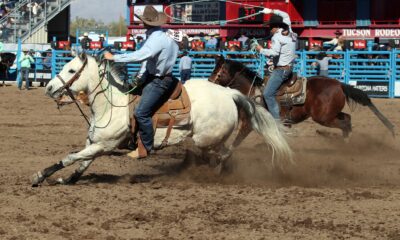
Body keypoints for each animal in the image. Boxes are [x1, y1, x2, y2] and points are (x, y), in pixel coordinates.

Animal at [31, 52, 292, 187]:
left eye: (71, 70)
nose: (50, 88)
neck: (112, 105)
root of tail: (228, 93)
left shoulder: (103, 145)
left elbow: (70, 157)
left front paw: (40, 176)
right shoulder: (94, 145)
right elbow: (82, 163)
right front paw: (68, 179)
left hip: (207, 138)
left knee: (223, 153)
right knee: (221, 155)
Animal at [208, 55, 396, 140]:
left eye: (218, 72)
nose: (209, 82)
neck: (254, 91)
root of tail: (339, 85)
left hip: (323, 117)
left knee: (344, 124)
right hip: (331, 113)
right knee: (347, 119)